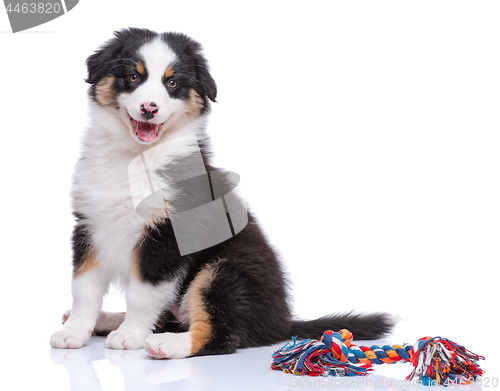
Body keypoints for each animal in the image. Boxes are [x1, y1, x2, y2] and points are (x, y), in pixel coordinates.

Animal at [50, 29, 394, 360]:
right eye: (133, 77)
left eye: (172, 84)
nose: (149, 108)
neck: (134, 157)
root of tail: (282, 322)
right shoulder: (89, 225)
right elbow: (84, 289)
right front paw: (75, 333)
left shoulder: (168, 236)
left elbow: (142, 293)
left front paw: (129, 336)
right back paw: (107, 321)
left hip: (224, 270)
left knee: (222, 333)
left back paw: (164, 344)